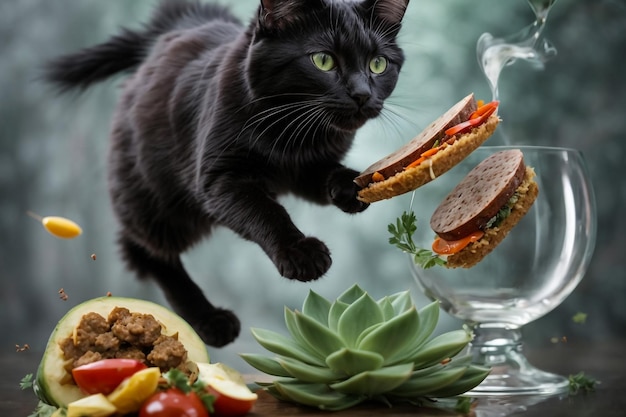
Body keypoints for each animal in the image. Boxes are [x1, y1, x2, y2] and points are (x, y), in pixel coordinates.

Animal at [46, 0, 410, 346]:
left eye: (378, 64)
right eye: (323, 60)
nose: (362, 94)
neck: (293, 136)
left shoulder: (309, 167)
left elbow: (327, 174)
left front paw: (353, 185)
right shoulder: (220, 179)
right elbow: (266, 210)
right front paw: (299, 251)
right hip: (158, 198)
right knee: (141, 249)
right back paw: (210, 319)